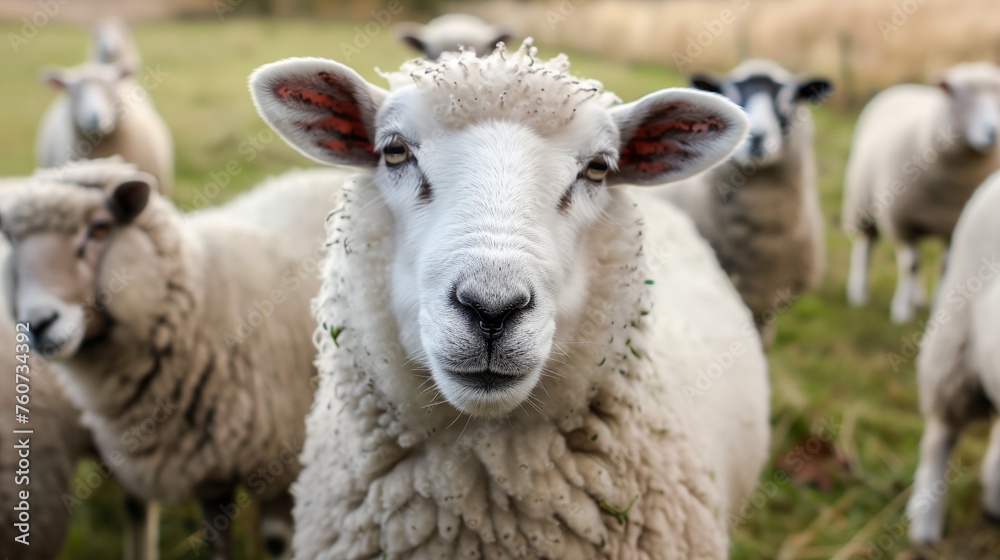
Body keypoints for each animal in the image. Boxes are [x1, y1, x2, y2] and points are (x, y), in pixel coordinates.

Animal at [0, 158, 344, 559]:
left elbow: (276, 541)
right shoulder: (210, 471)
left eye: (100, 228)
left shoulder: (284, 465)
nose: (38, 324)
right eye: (12, 243)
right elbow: (217, 540)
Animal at [842, 62, 1000, 323]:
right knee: (866, 245)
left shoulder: (951, 226)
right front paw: (900, 311)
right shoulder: (901, 222)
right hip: (861, 203)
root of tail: (904, 87)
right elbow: (910, 265)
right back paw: (858, 292)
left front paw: (936, 307)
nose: (992, 132)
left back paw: (917, 298)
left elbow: (943, 267)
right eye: (957, 94)